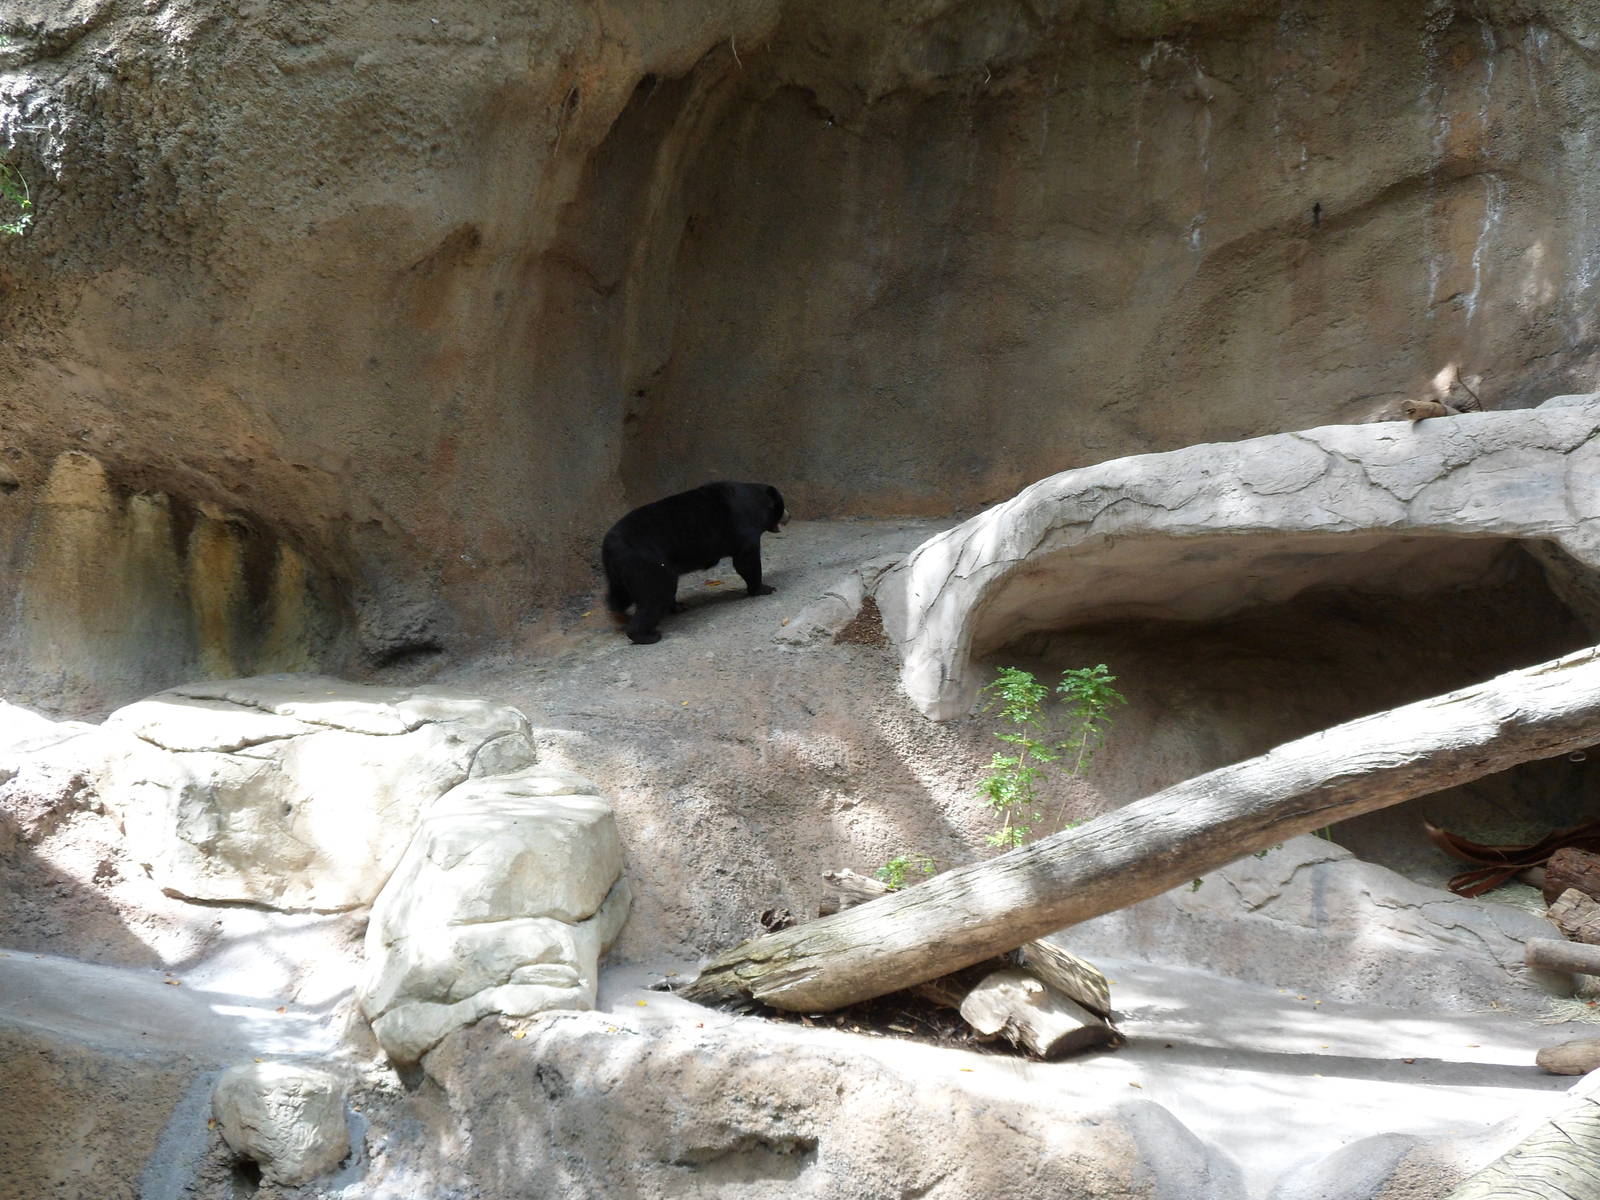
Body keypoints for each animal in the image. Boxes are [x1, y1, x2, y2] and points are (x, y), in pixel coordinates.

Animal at [601, 481, 789, 644]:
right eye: (782, 505)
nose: (789, 515)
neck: (756, 502)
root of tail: (609, 547)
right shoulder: (744, 529)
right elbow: (746, 562)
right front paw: (765, 589)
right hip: (646, 564)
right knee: (656, 594)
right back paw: (649, 635)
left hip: (619, 573)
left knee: (619, 596)